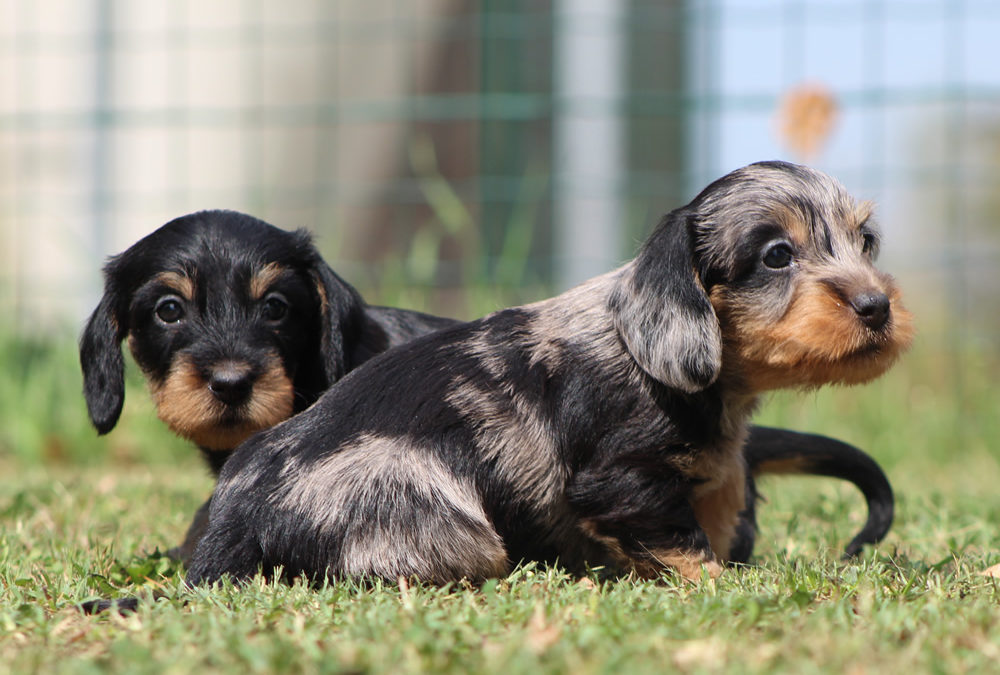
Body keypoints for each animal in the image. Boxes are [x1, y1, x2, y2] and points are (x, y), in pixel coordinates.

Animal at [186, 160, 916, 588]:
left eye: (866, 243)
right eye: (776, 256)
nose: (877, 307)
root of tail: (234, 517)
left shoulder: (712, 473)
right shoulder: (622, 479)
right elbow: (684, 543)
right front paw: (723, 589)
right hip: (443, 519)